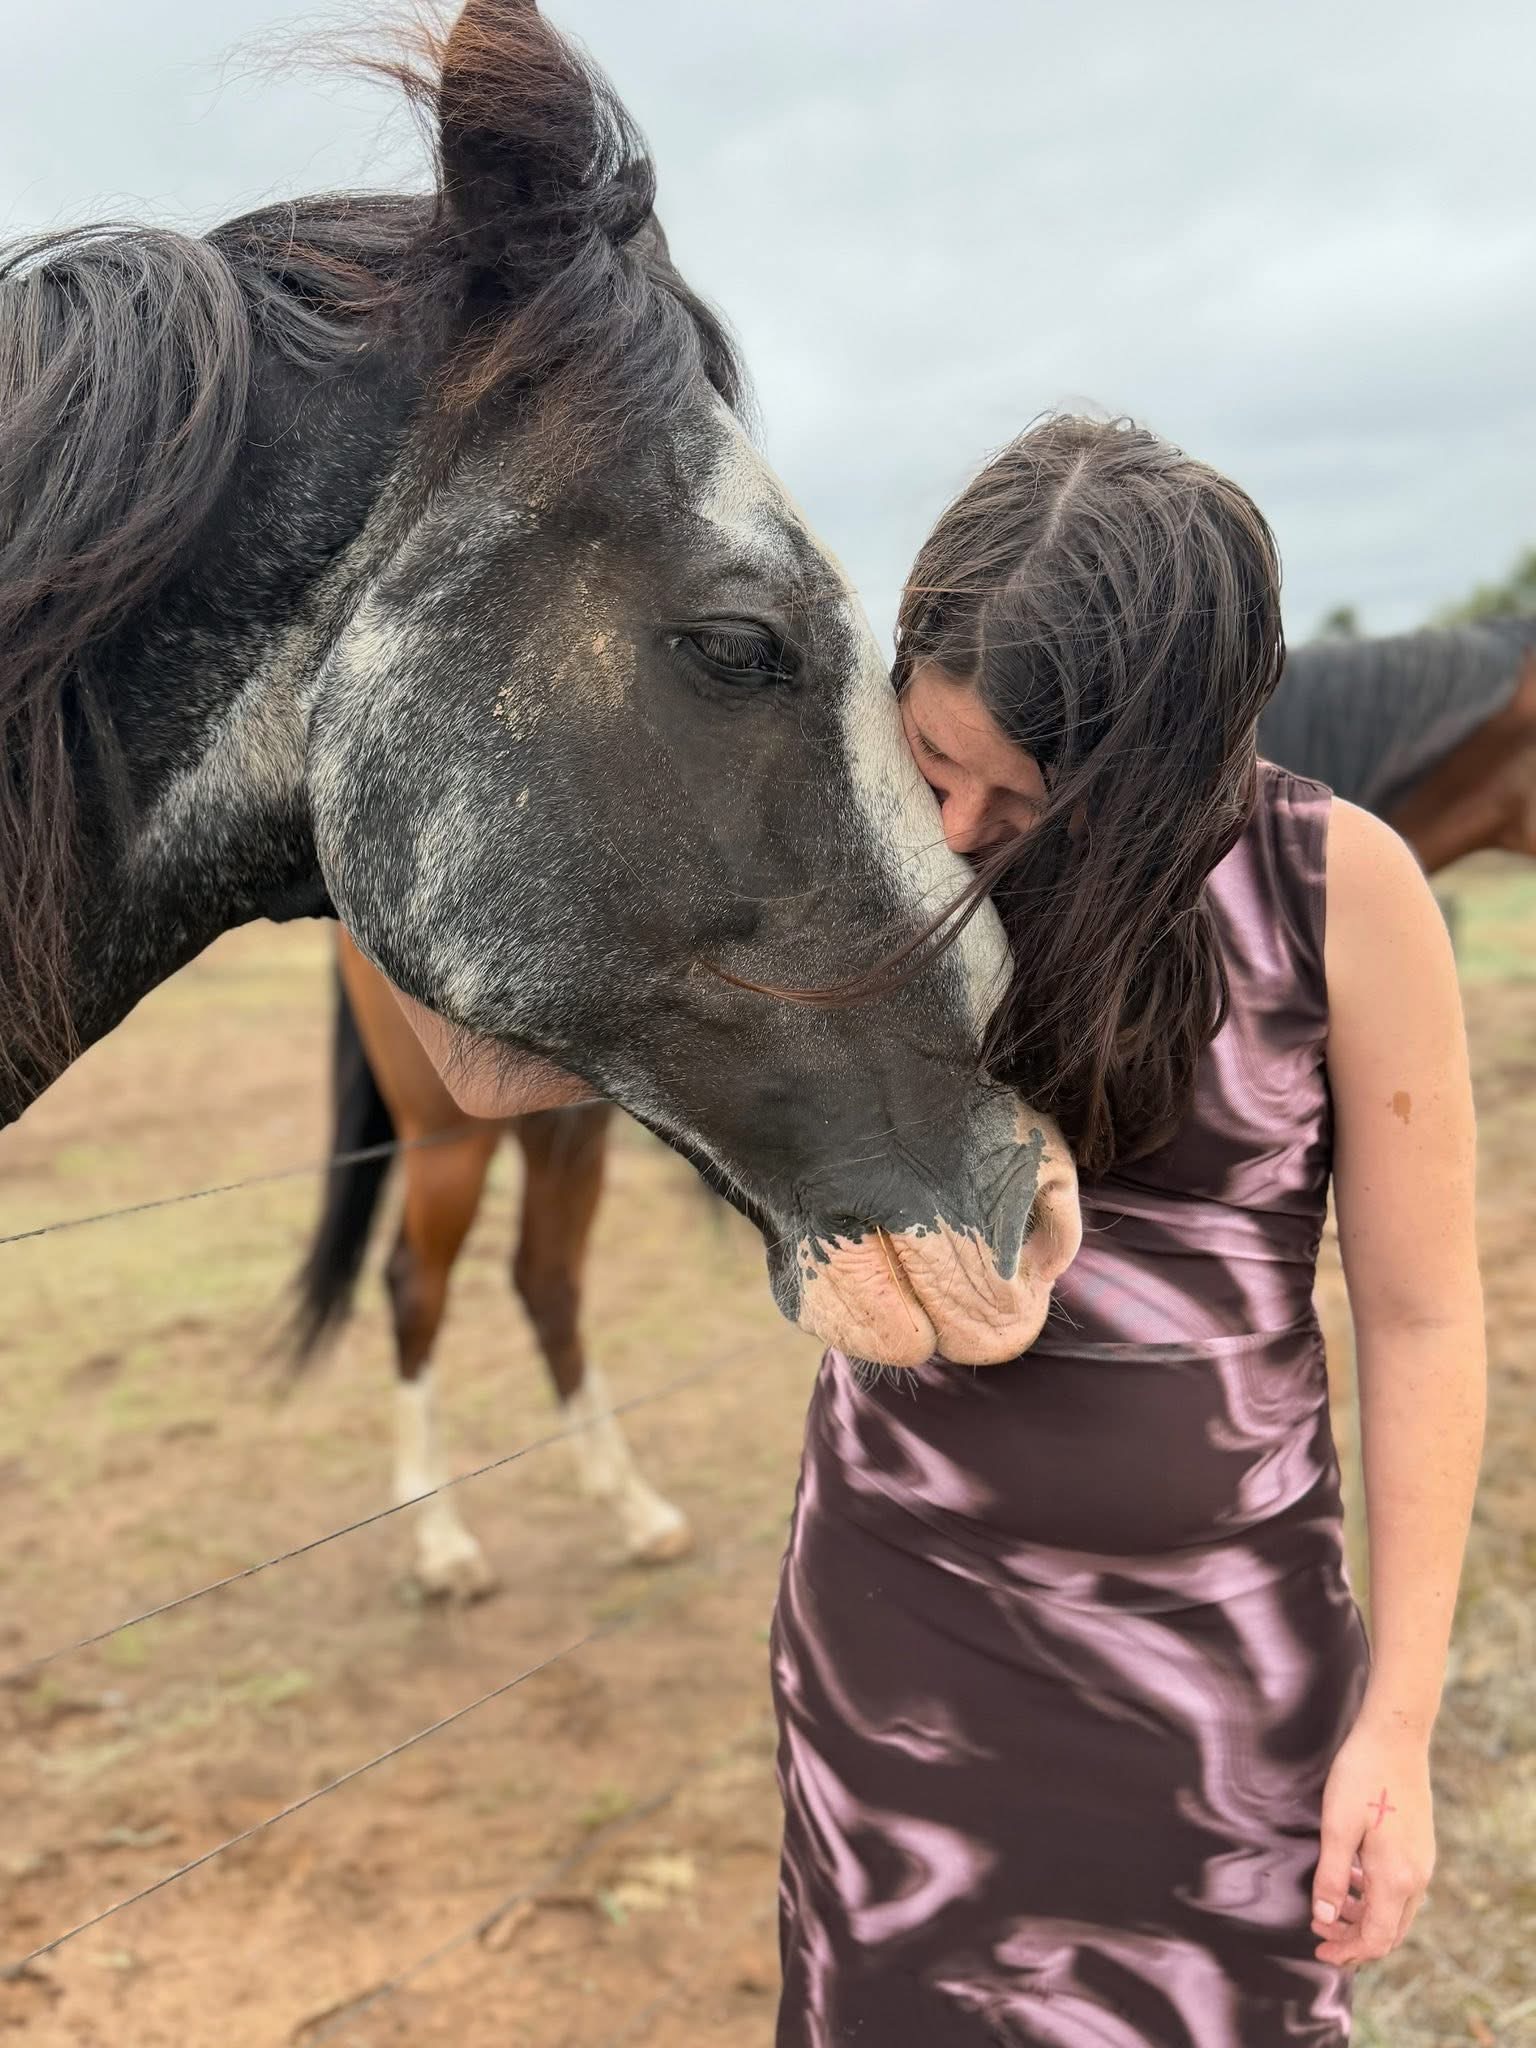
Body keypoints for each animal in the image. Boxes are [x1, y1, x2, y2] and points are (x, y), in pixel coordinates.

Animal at [293, 613, 1536, 1598]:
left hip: (569, 1121)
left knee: (544, 1276)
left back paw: (634, 1509)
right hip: (454, 1131)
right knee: (416, 1284)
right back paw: (443, 1543)